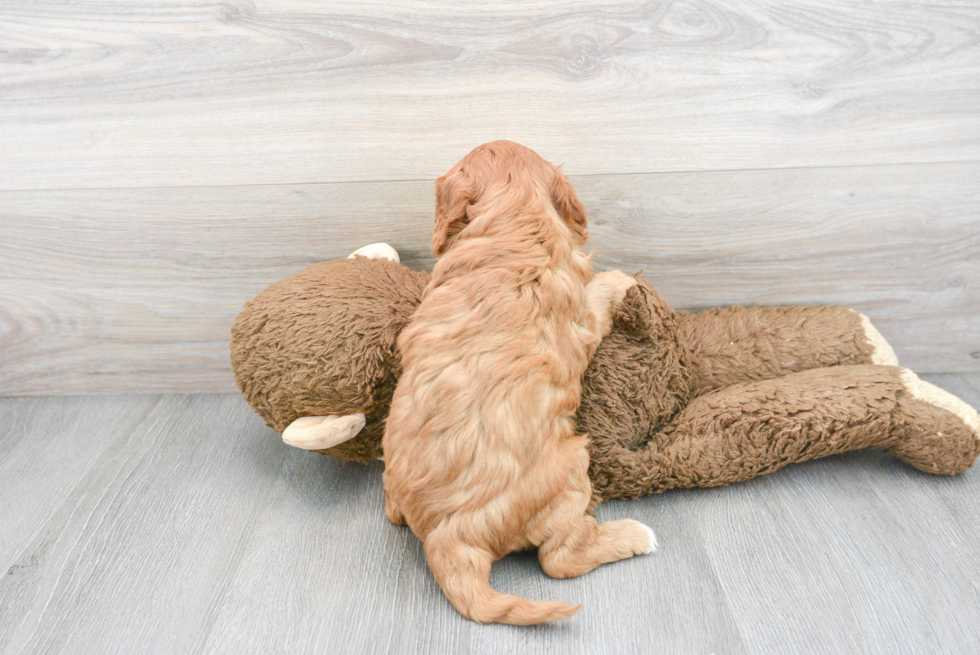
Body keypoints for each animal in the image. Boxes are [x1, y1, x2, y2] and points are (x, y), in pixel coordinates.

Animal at [378, 142, 656, 624]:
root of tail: (447, 537)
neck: (516, 218)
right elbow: (599, 293)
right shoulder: (584, 318)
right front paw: (622, 281)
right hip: (571, 469)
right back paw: (634, 536)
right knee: (560, 558)